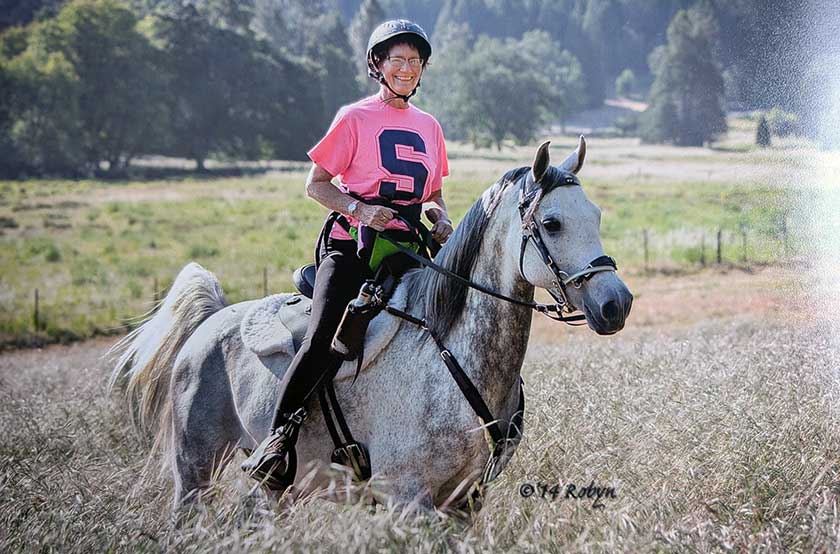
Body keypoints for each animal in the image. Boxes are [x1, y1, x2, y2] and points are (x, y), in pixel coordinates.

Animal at [110, 138, 632, 508]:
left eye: (596, 215)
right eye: (552, 223)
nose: (616, 303)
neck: (450, 353)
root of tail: (212, 318)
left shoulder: (465, 501)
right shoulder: (408, 498)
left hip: (273, 491)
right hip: (194, 470)